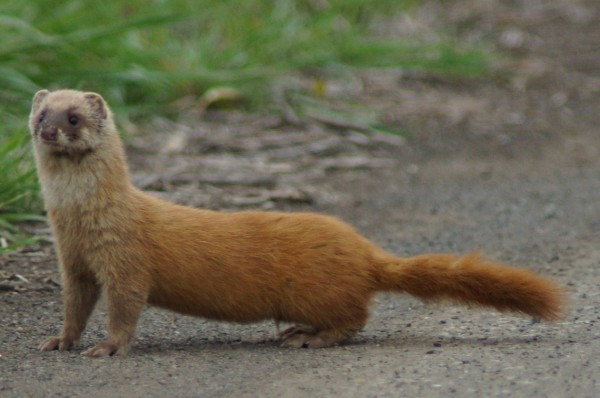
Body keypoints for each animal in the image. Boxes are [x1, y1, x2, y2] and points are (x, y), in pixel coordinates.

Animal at [29, 90, 564, 358]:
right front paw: (61, 341)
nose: (47, 128)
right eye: (39, 112)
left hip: (313, 288)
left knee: (357, 317)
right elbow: (76, 305)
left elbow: (124, 307)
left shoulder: (125, 257)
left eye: (73, 117)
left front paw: (107, 348)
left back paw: (308, 337)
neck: (77, 221)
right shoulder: (71, 260)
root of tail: (364, 251)